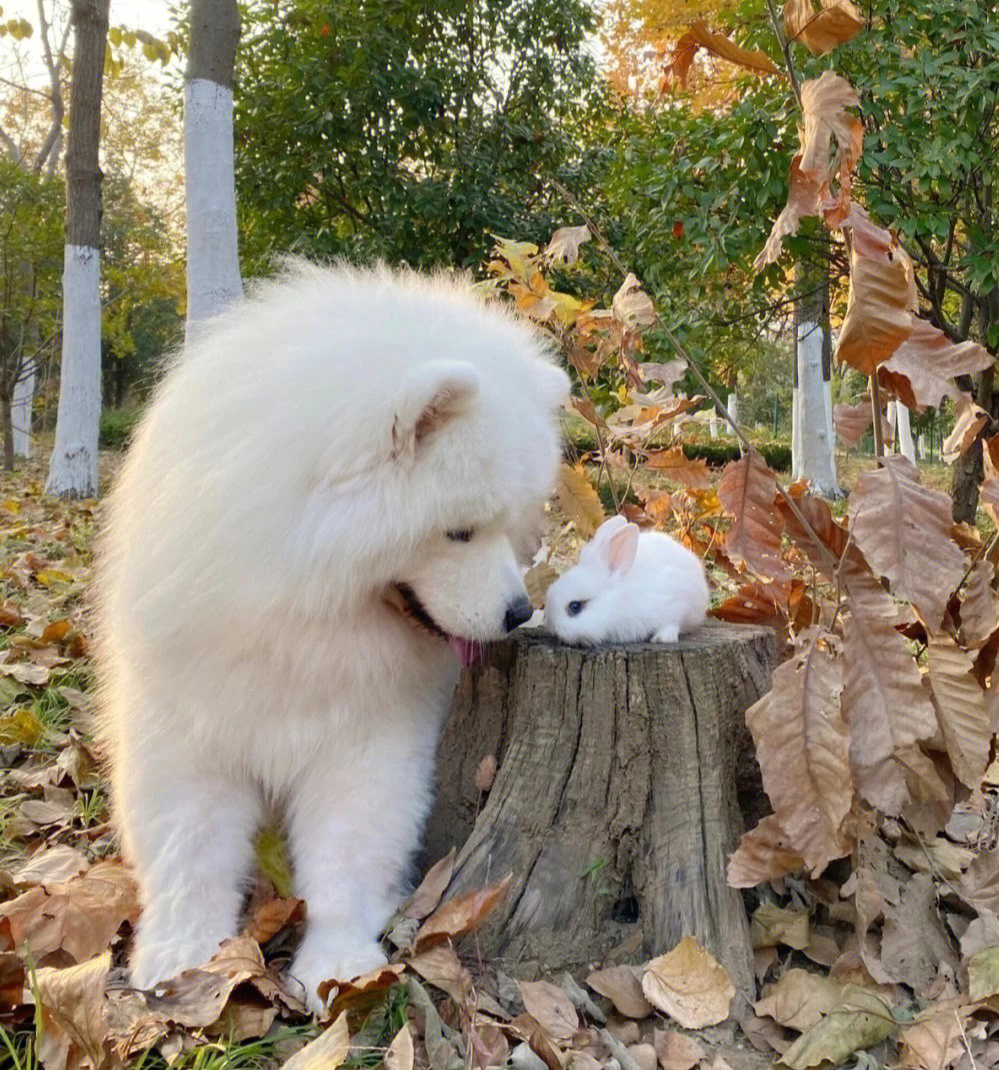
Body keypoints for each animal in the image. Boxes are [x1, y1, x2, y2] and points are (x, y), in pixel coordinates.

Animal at [98, 263, 573, 1014]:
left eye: (514, 525)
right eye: (459, 531)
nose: (517, 613)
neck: (299, 616)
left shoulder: (369, 739)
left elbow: (348, 853)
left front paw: (337, 964)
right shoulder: (186, 726)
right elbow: (187, 850)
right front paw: (180, 955)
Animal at [547, 511, 710, 642]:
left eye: (575, 607)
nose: (552, 626)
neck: (619, 600)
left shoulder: (675, 604)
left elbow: (672, 623)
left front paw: (662, 638)